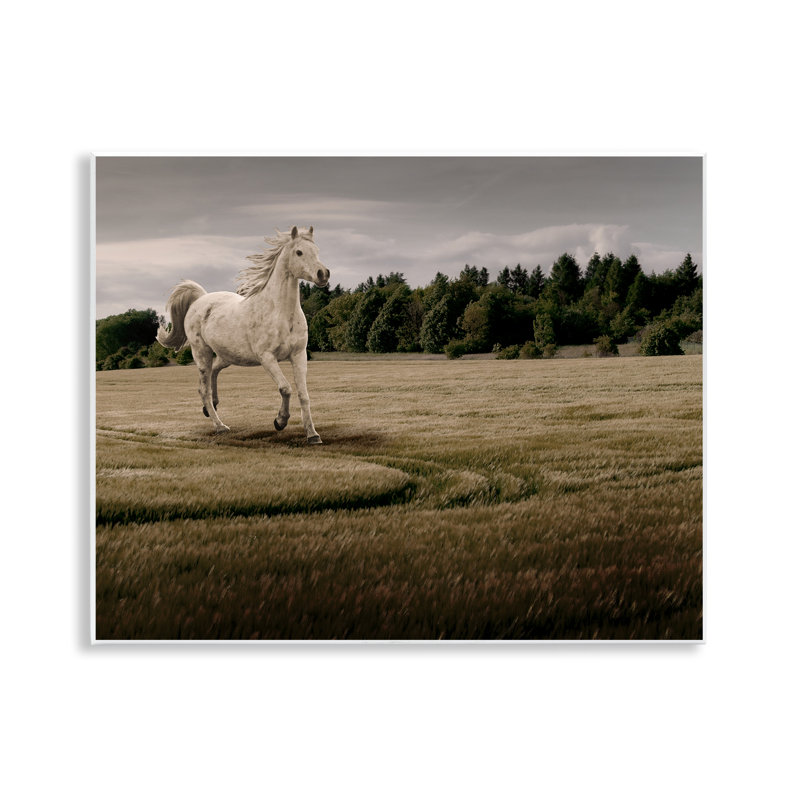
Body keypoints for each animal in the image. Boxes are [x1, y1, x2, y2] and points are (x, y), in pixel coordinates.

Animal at [156, 225, 330, 443]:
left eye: (317, 251)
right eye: (299, 252)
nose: (323, 274)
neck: (281, 313)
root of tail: (200, 299)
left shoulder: (299, 355)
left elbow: (304, 394)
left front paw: (313, 435)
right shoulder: (267, 357)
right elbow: (286, 388)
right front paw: (280, 422)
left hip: (228, 356)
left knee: (214, 372)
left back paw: (212, 406)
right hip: (202, 353)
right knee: (203, 388)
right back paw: (220, 425)